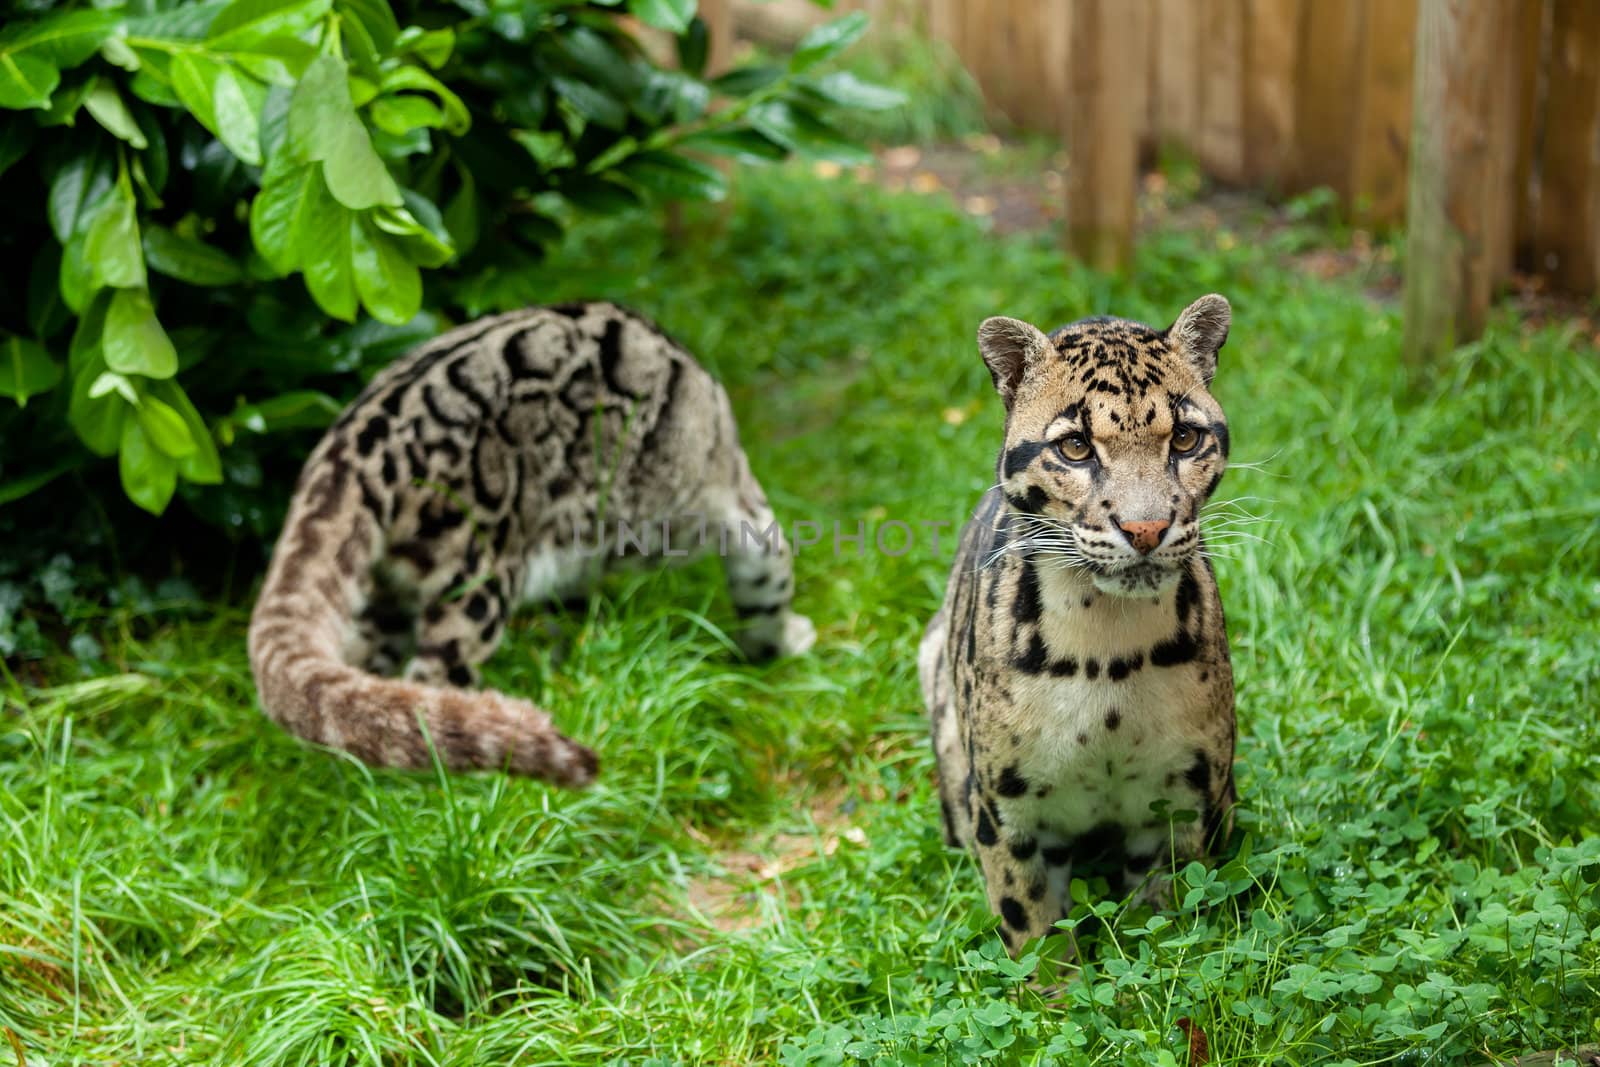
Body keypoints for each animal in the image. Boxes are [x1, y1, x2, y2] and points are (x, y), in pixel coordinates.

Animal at [256, 303, 819, 790]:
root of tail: (351, 446)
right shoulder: (739, 504)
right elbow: (769, 575)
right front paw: (781, 644)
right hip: (476, 582)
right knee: (436, 680)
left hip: (387, 594)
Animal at [921, 292, 1241, 953]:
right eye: (1075, 447)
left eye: (1186, 438)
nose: (1146, 528)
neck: (1107, 650)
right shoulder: (1007, 810)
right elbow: (1031, 925)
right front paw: (1047, 978)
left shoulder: (1180, 796)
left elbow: (1162, 916)